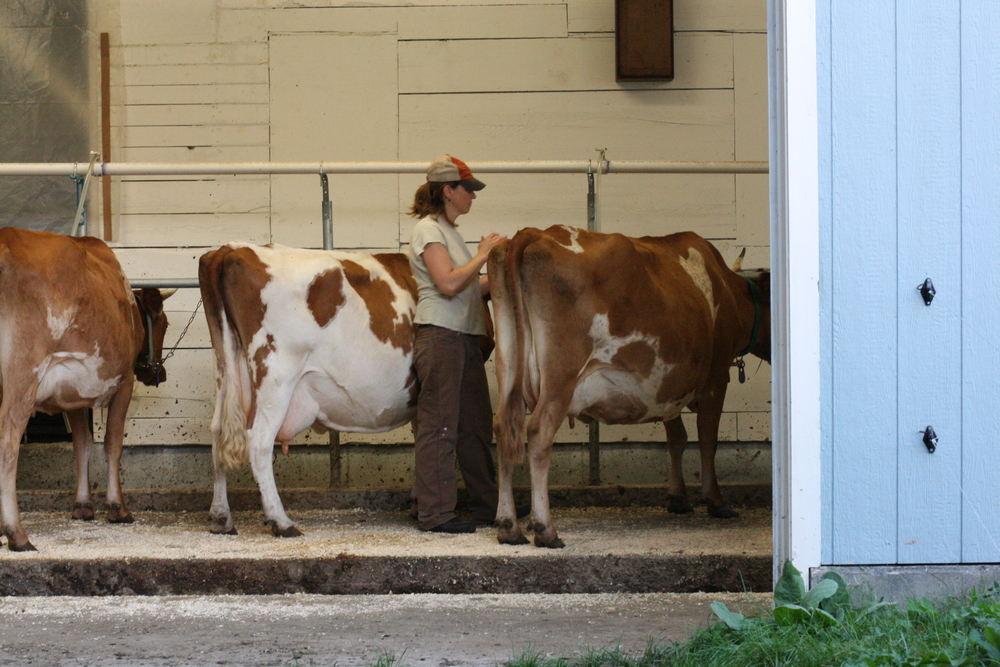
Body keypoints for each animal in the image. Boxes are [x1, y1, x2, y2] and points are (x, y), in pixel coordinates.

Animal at [0, 227, 171, 552]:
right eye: (164, 324)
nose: (159, 373)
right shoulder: (124, 383)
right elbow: (113, 443)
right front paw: (118, 508)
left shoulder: (72, 395)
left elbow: (82, 444)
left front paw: (82, 506)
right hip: (21, 377)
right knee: (8, 439)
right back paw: (17, 533)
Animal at [199, 243, 422, 536]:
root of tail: (232, 248)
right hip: (276, 373)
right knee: (259, 440)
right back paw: (281, 521)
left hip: (225, 369)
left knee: (217, 430)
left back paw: (221, 517)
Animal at [488, 226, 768, 548]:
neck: (728, 289)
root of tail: (535, 233)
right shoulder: (716, 377)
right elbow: (707, 440)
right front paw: (716, 502)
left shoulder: (666, 388)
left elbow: (677, 439)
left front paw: (678, 499)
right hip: (561, 377)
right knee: (538, 433)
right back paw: (545, 530)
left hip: (509, 366)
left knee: (503, 428)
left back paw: (508, 527)